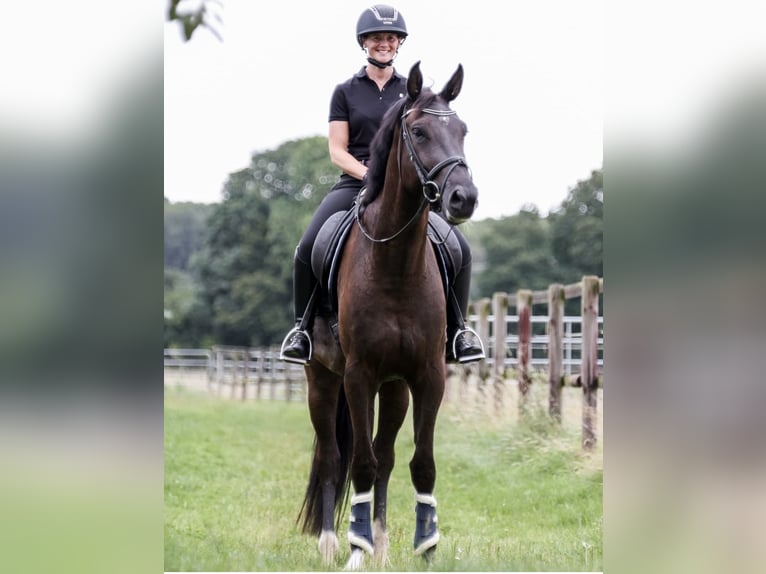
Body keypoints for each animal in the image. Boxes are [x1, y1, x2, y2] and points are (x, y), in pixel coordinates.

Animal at [297, 61, 478, 570]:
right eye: (418, 131)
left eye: (462, 130)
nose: (463, 198)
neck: (395, 264)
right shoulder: (358, 376)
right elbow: (359, 462)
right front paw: (354, 551)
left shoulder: (427, 375)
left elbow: (420, 463)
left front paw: (426, 546)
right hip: (322, 379)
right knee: (333, 457)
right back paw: (332, 543)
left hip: (394, 388)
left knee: (386, 456)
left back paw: (379, 544)